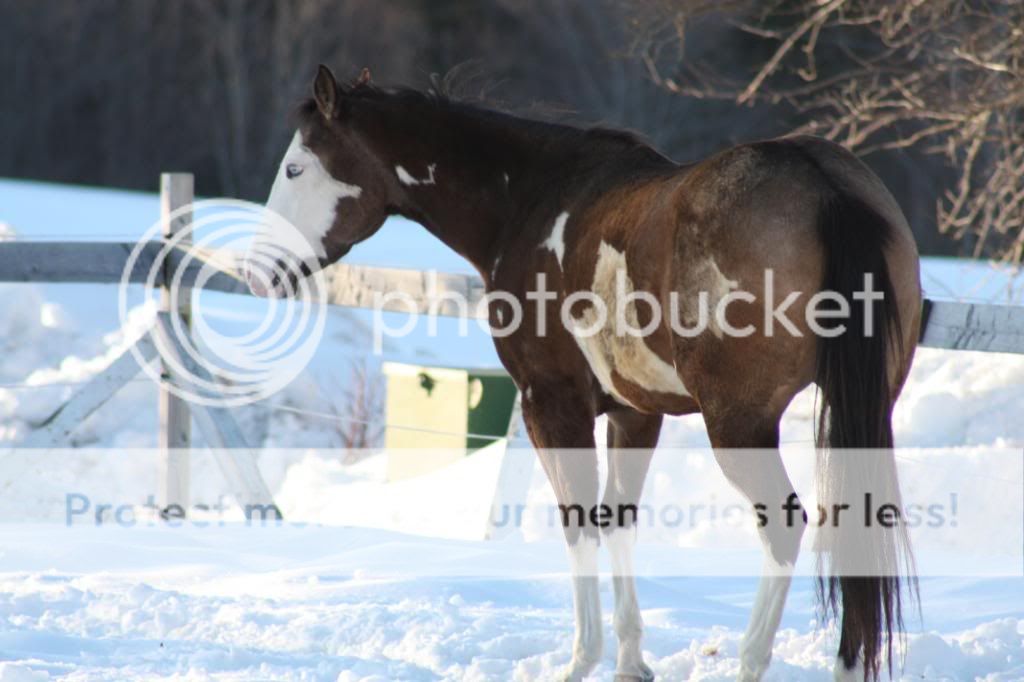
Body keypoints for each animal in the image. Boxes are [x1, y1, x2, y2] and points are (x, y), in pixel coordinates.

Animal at [245, 65, 921, 679]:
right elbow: (617, 520)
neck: (530, 201)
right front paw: (629, 662)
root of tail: (823, 184)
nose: (255, 273)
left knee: (783, 526)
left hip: (739, 425)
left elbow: (578, 524)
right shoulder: (635, 413)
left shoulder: (550, 404)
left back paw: (750, 661)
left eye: (295, 168)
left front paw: (582, 660)